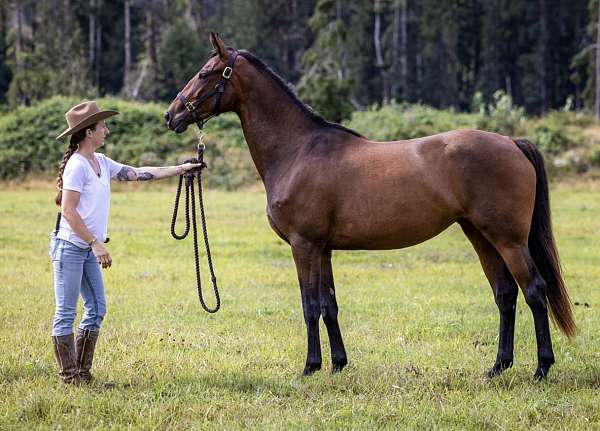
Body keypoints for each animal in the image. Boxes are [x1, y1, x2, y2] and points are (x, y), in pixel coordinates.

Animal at [165, 32, 576, 380]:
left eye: (204, 73)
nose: (172, 115)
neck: (299, 150)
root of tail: (511, 142)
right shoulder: (323, 249)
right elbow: (328, 305)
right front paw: (337, 365)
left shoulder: (304, 245)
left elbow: (309, 305)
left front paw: (310, 367)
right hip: (480, 236)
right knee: (505, 294)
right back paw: (497, 367)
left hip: (508, 240)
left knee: (534, 291)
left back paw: (541, 368)